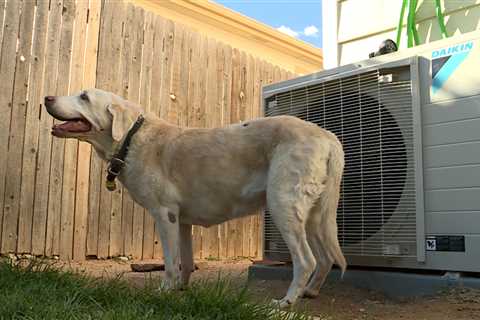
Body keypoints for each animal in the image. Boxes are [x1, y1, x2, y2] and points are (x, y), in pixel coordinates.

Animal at [44, 88, 344, 308]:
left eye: (84, 96)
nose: (47, 98)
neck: (131, 138)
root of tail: (327, 135)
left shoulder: (164, 215)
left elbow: (170, 262)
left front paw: (165, 290)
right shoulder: (182, 221)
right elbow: (186, 261)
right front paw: (181, 288)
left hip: (283, 205)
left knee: (306, 260)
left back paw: (287, 301)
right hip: (315, 216)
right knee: (325, 258)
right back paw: (310, 292)